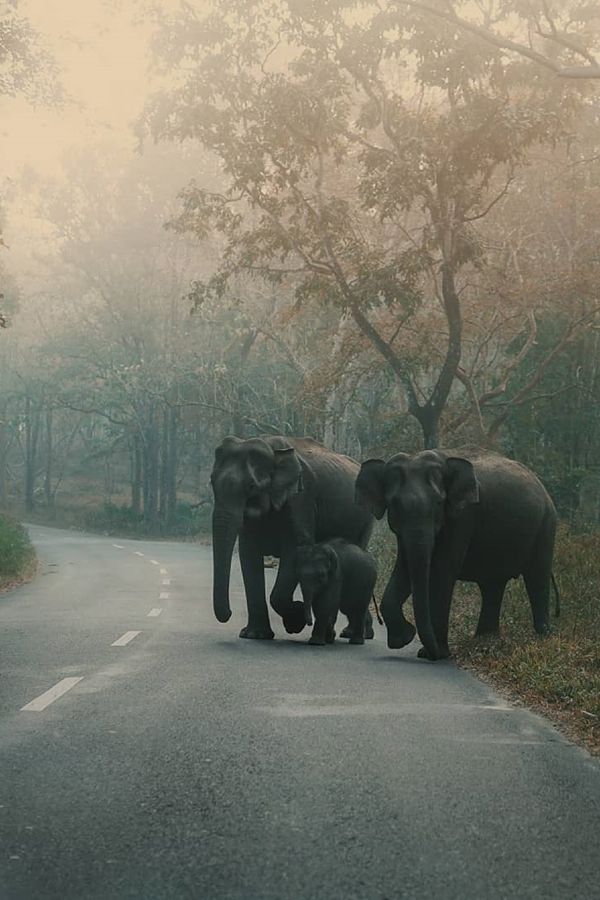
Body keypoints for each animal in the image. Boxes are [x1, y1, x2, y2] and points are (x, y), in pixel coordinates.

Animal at [210, 436, 370, 640]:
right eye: (211, 483)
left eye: (251, 487)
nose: (229, 614)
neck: (271, 449)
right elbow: (248, 553)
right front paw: (254, 634)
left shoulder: (302, 499)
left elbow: (296, 549)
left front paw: (295, 621)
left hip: (366, 518)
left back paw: (350, 634)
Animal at [356, 450, 556, 660]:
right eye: (394, 504)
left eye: (438, 503)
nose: (429, 651)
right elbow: (405, 570)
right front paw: (403, 639)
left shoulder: (462, 517)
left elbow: (441, 573)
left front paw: (435, 654)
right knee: (493, 584)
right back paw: (485, 639)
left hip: (546, 525)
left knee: (537, 578)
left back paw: (542, 636)